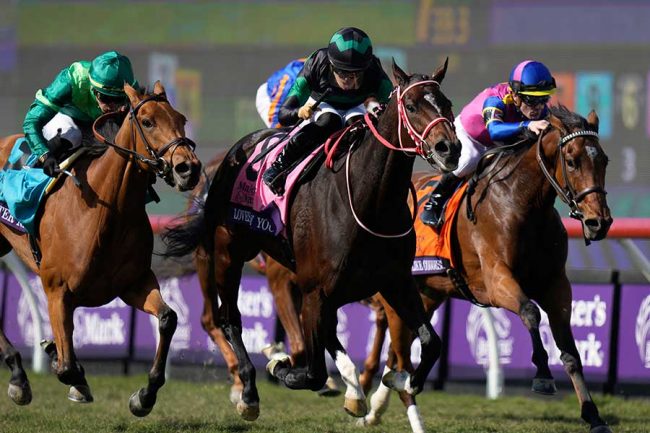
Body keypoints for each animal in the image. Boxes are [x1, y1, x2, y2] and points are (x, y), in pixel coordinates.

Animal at [0, 82, 201, 416]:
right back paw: (18, 376)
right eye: (147, 121)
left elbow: (168, 318)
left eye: (182, 119)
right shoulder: (57, 290)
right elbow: (66, 367)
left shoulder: (134, 282)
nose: (189, 168)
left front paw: (144, 396)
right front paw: (70, 372)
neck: (106, 212)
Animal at [162, 60, 461, 421]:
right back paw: (248, 390)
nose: (450, 148)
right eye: (413, 106)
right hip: (224, 253)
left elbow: (431, 343)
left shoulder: (395, 281)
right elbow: (311, 367)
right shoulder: (312, 290)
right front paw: (280, 364)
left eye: (446, 103)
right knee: (226, 318)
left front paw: (397, 380)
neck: (369, 200)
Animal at [359, 106, 614, 433]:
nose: (600, 222)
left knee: (400, 350)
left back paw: (379, 404)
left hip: (427, 295)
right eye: (571, 161)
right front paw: (543, 376)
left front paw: (593, 416)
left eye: (603, 160)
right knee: (399, 349)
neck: (523, 203)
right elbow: (530, 312)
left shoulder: (556, 285)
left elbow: (570, 352)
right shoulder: (495, 280)